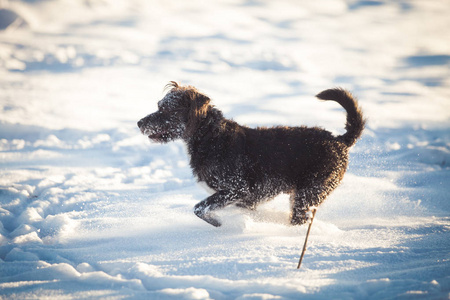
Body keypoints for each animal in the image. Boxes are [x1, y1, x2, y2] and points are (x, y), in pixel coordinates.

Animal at [138, 82, 366, 227]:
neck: (210, 136)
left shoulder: (237, 189)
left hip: (309, 192)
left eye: (166, 110)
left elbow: (199, 209)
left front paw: (220, 223)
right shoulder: (243, 200)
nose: (139, 123)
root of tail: (340, 141)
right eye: (158, 106)